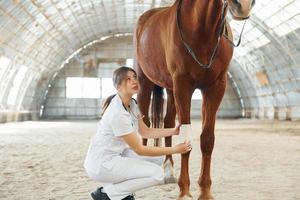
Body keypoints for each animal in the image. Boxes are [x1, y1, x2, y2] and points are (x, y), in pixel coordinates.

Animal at [135, 0, 254, 199]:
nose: (243, 6)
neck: (202, 28)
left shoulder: (215, 87)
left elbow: (207, 139)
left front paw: (205, 190)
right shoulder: (183, 85)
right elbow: (185, 137)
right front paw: (184, 191)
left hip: (170, 88)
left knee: (168, 122)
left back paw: (169, 170)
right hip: (145, 83)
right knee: (145, 122)